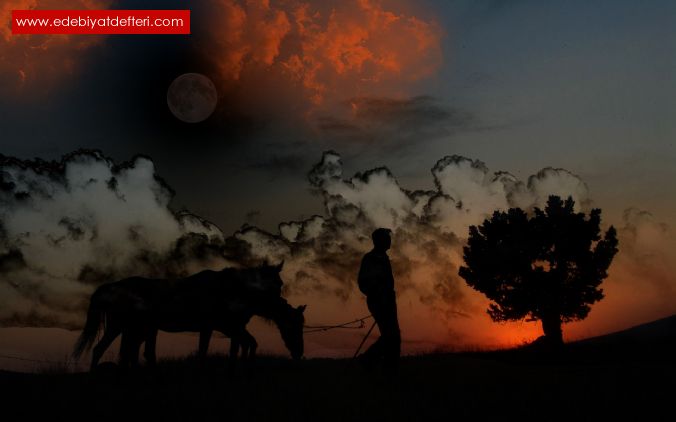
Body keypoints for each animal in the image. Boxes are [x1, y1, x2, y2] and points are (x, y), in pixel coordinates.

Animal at [72, 264, 304, 370]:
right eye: (296, 326)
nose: (299, 353)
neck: (230, 290)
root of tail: (112, 287)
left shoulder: (230, 327)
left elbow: (244, 344)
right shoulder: (215, 326)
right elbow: (205, 351)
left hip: (133, 328)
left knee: (127, 352)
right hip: (121, 326)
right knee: (103, 349)